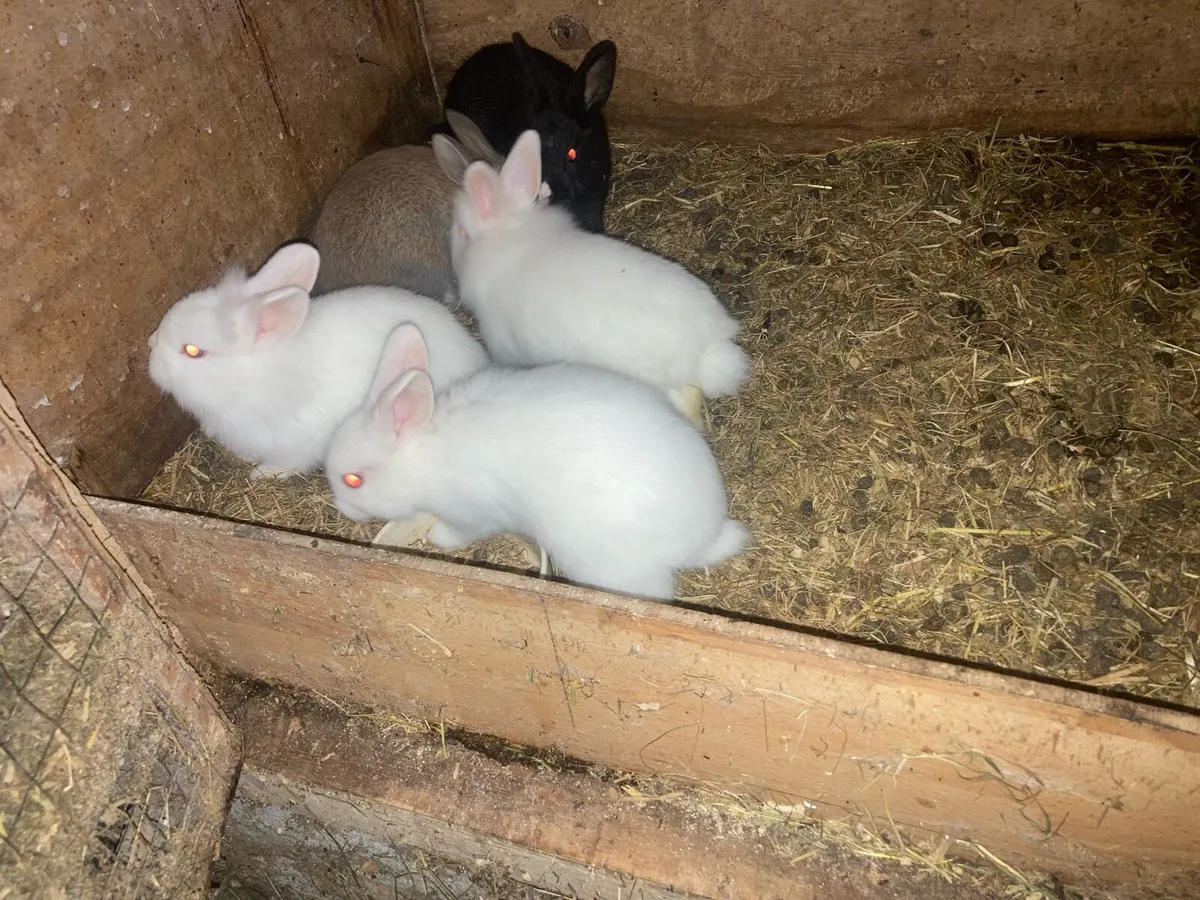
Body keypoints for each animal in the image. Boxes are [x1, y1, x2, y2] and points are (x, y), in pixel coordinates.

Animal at [147, 242, 488, 478]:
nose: (151, 348)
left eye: (193, 351)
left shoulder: (297, 443)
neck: (255, 381)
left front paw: (261, 473)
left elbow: (287, 463)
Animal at [325, 322, 749, 601]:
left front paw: (436, 538)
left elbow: (456, 532)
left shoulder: (473, 514)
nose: (342, 509)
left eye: (353, 480)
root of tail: (705, 538)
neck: (426, 453)